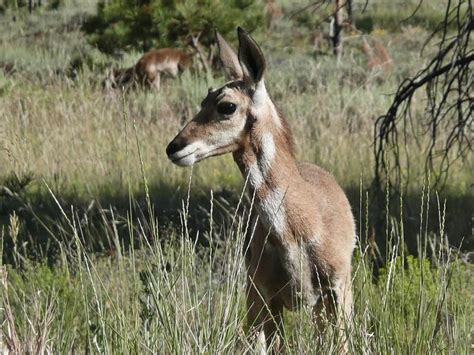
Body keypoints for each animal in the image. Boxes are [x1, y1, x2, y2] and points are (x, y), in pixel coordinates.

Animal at [165, 27, 354, 354]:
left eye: (226, 105)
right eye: (204, 98)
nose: (174, 147)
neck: (302, 227)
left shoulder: (337, 289)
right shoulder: (261, 297)